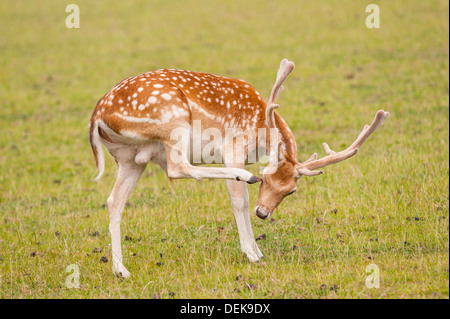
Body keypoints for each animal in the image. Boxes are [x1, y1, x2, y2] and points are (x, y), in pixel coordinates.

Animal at [89, 59, 388, 278]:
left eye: (291, 191)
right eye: (267, 178)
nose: (263, 213)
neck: (260, 128)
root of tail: (97, 116)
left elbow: (241, 200)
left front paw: (257, 249)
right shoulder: (233, 149)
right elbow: (239, 201)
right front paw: (252, 253)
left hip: (132, 158)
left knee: (114, 201)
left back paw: (121, 270)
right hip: (173, 122)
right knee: (177, 167)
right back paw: (245, 176)